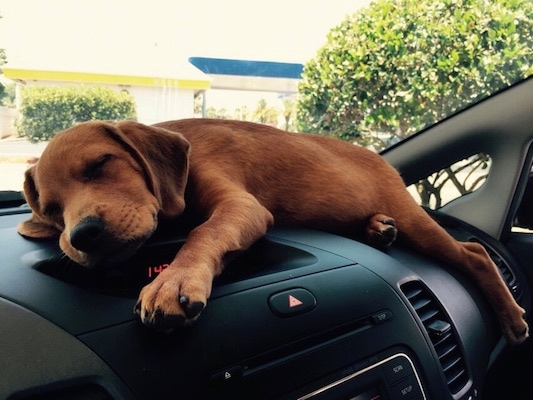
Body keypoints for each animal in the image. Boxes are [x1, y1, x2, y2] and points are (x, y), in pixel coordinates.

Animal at [16, 118, 528, 344]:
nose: (82, 236)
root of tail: (375, 154)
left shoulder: (240, 207)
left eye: (100, 164)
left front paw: (172, 280)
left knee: (473, 254)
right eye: (53, 210)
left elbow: (202, 233)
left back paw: (511, 316)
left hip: (421, 223)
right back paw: (377, 229)